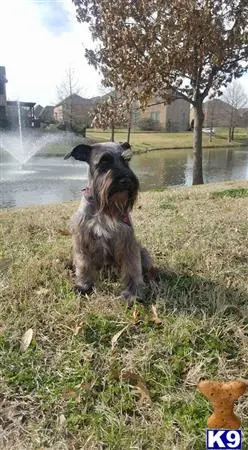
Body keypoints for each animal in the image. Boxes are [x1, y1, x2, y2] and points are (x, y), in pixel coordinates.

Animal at [65, 141, 152, 302]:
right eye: (104, 161)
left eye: (126, 160)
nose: (125, 180)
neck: (103, 208)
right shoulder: (82, 240)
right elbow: (83, 264)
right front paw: (83, 285)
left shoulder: (128, 242)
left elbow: (132, 267)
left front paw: (133, 293)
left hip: (142, 251)